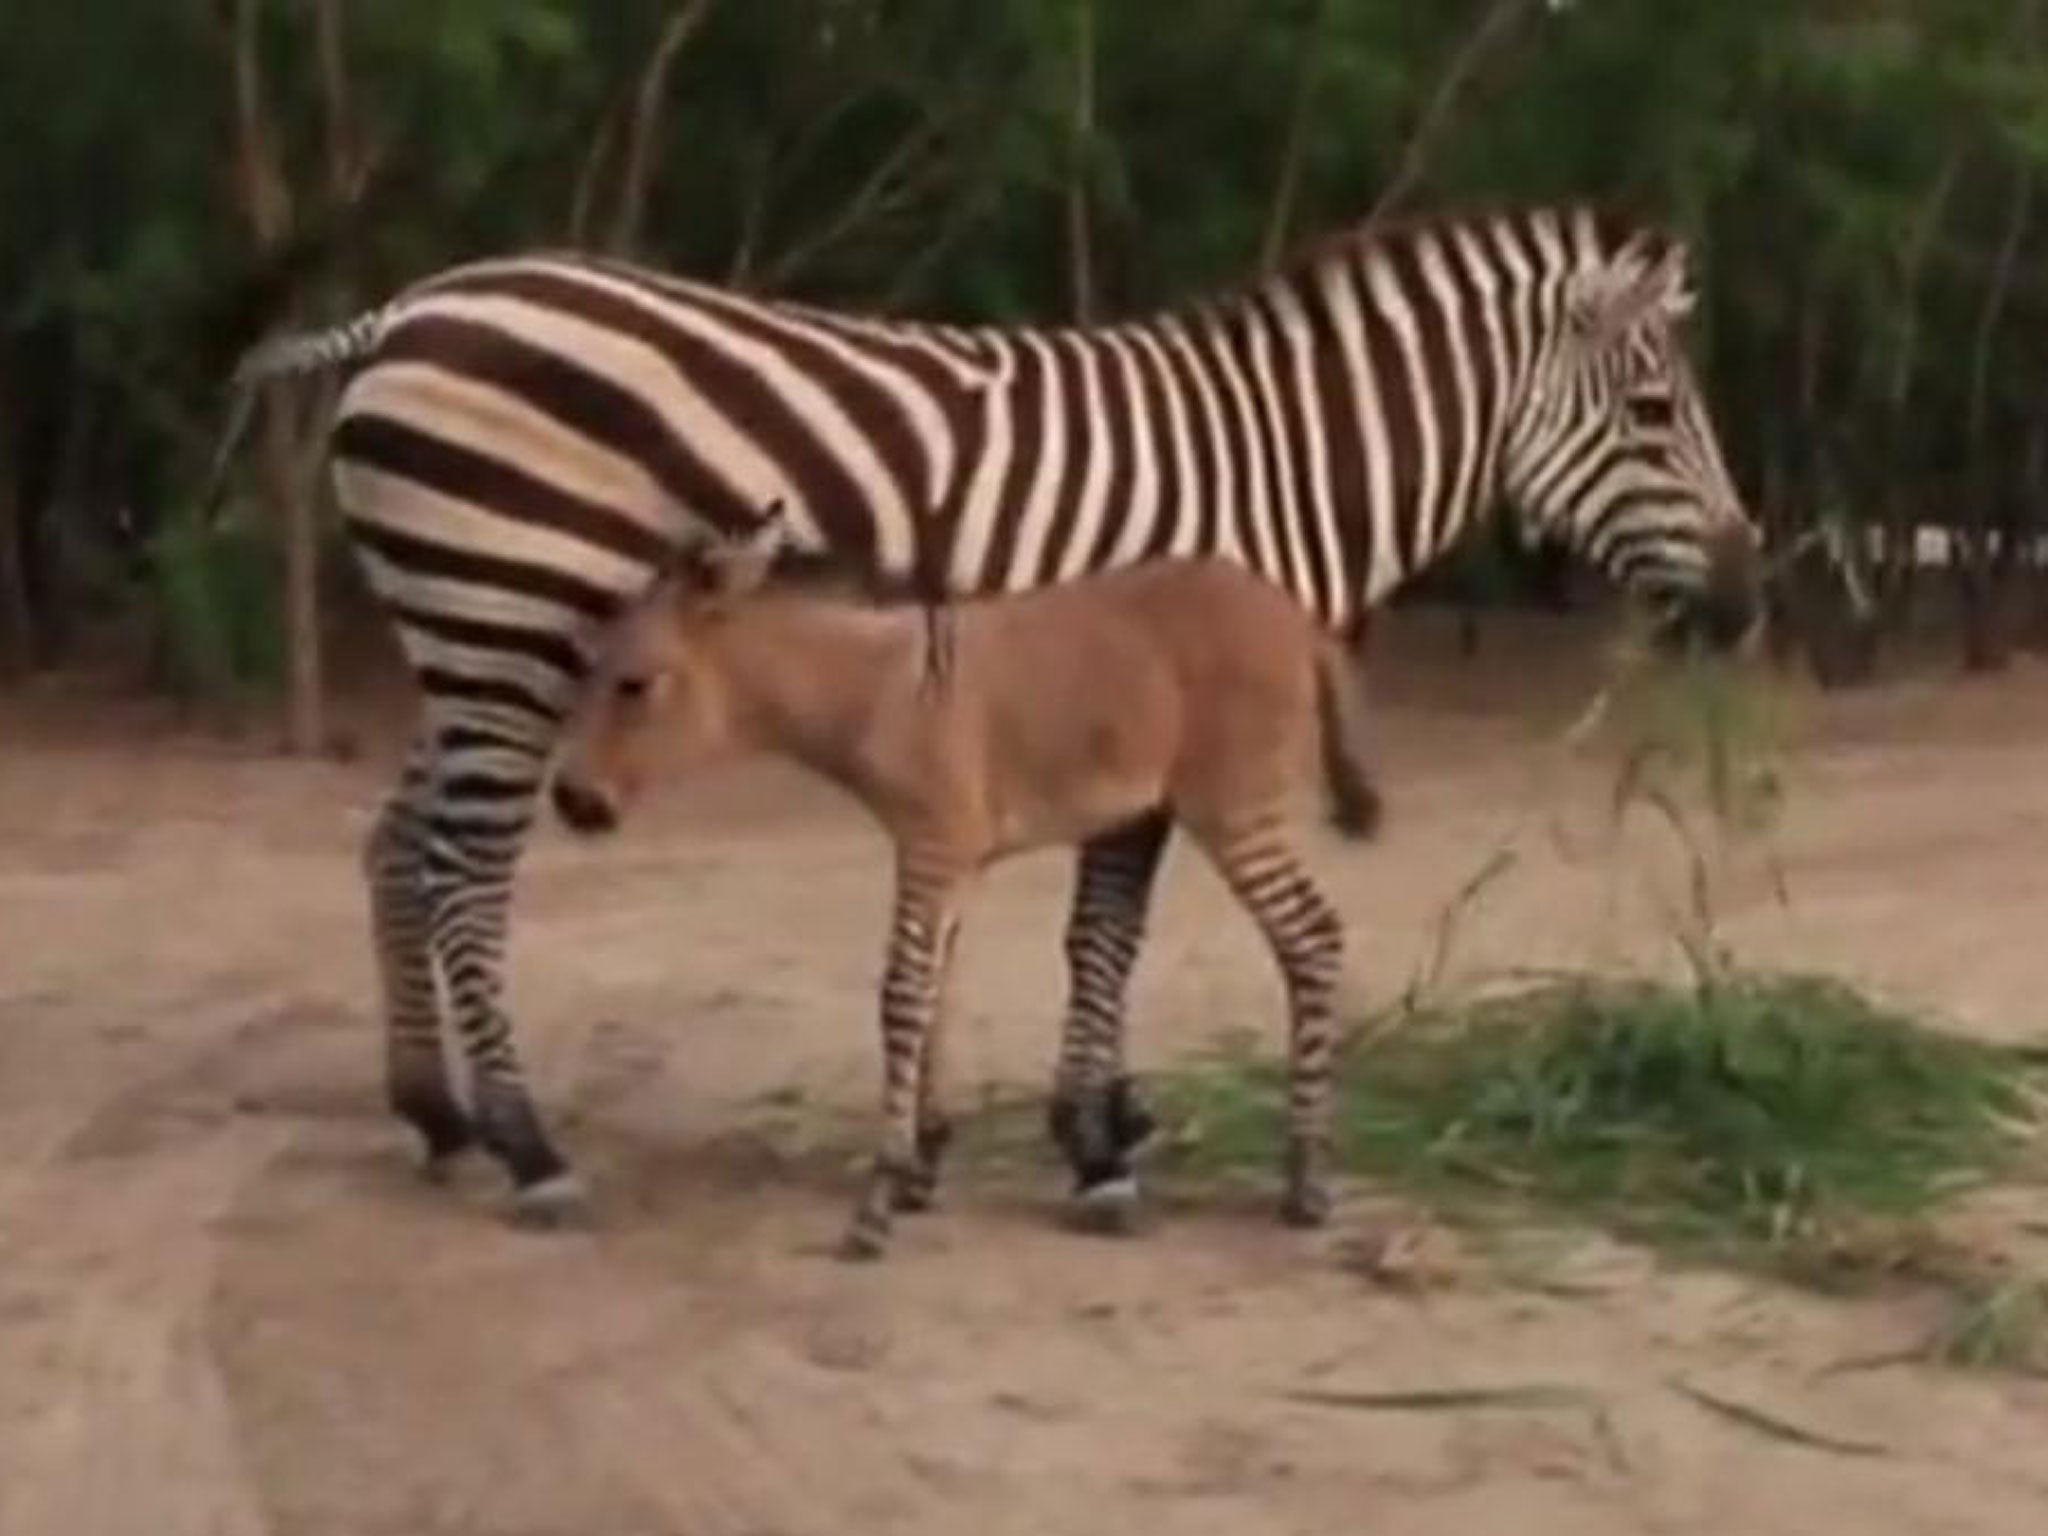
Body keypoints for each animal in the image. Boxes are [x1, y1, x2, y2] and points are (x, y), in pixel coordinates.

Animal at [548, 512, 1376, 1253]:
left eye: (633, 685)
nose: (568, 801)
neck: (878, 693)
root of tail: (1297, 617)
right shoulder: (951, 860)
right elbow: (937, 989)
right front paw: (920, 1167)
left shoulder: (931, 847)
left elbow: (901, 997)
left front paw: (876, 1203)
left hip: (1233, 807)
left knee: (1312, 936)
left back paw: (1305, 1178)